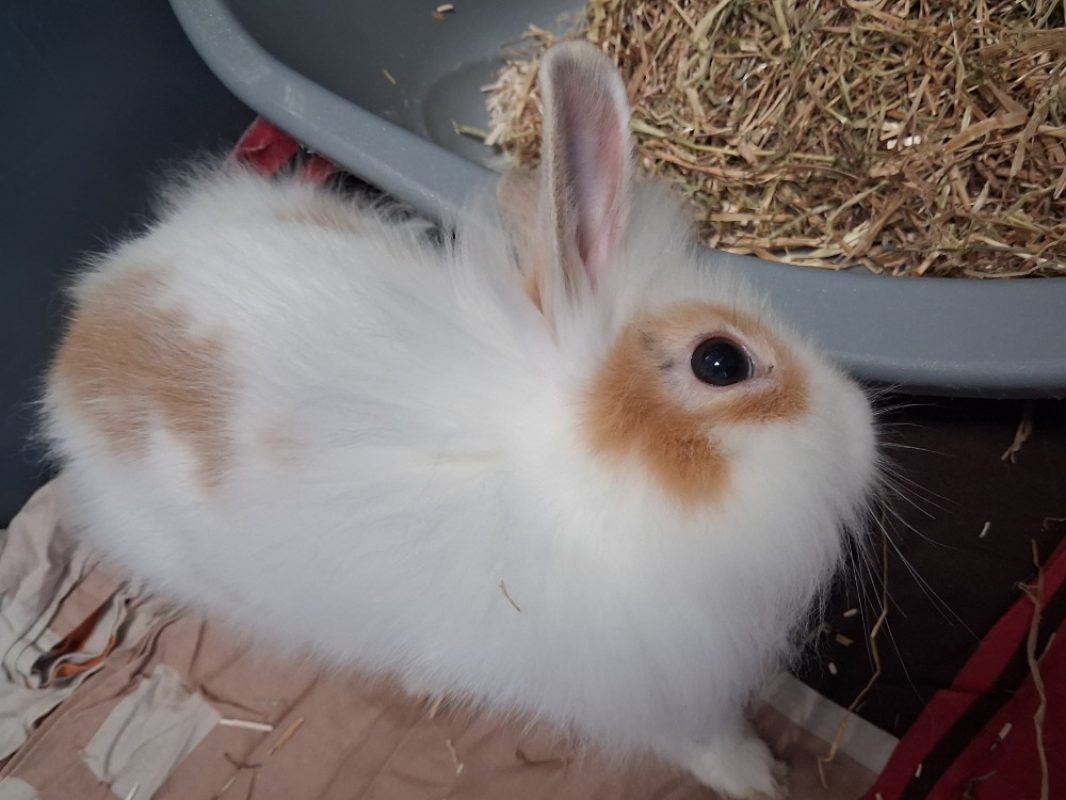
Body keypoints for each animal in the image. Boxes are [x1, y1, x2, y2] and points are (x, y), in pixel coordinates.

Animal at [41, 41, 877, 799]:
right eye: (720, 362)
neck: (586, 472)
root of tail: (81, 329)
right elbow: (700, 738)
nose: (867, 429)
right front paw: (760, 776)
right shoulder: (642, 685)